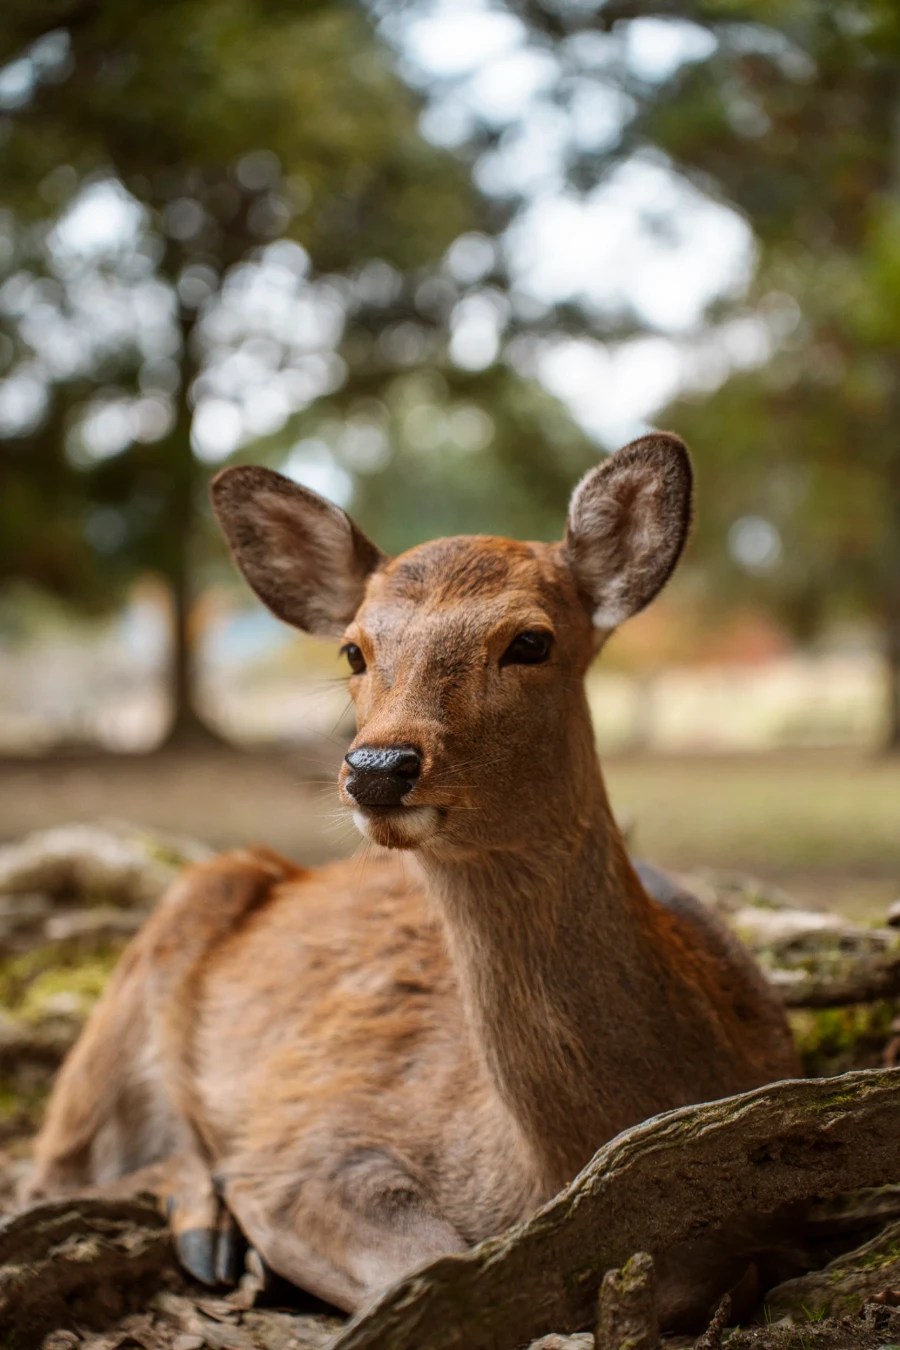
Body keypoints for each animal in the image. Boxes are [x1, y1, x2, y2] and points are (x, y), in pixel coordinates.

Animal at [25, 433, 799, 1328]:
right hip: (142, 980)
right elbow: (429, 1264)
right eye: (353, 649)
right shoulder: (311, 1145)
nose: (378, 767)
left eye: (531, 640)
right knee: (52, 1173)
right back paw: (207, 1232)